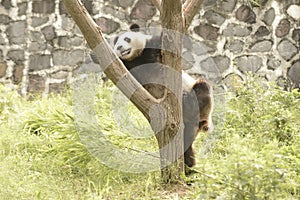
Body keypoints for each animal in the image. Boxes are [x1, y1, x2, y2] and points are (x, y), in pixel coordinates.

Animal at [92, 23, 212, 169]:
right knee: (186, 145)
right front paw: (95, 56)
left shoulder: (153, 49)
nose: (119, 47)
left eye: (126, 39)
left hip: (194, 96)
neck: (137, 56)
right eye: (115, 44)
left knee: (202, 89)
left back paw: (190, 103)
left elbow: (164, 43)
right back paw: (189, 165)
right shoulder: (133, 69)